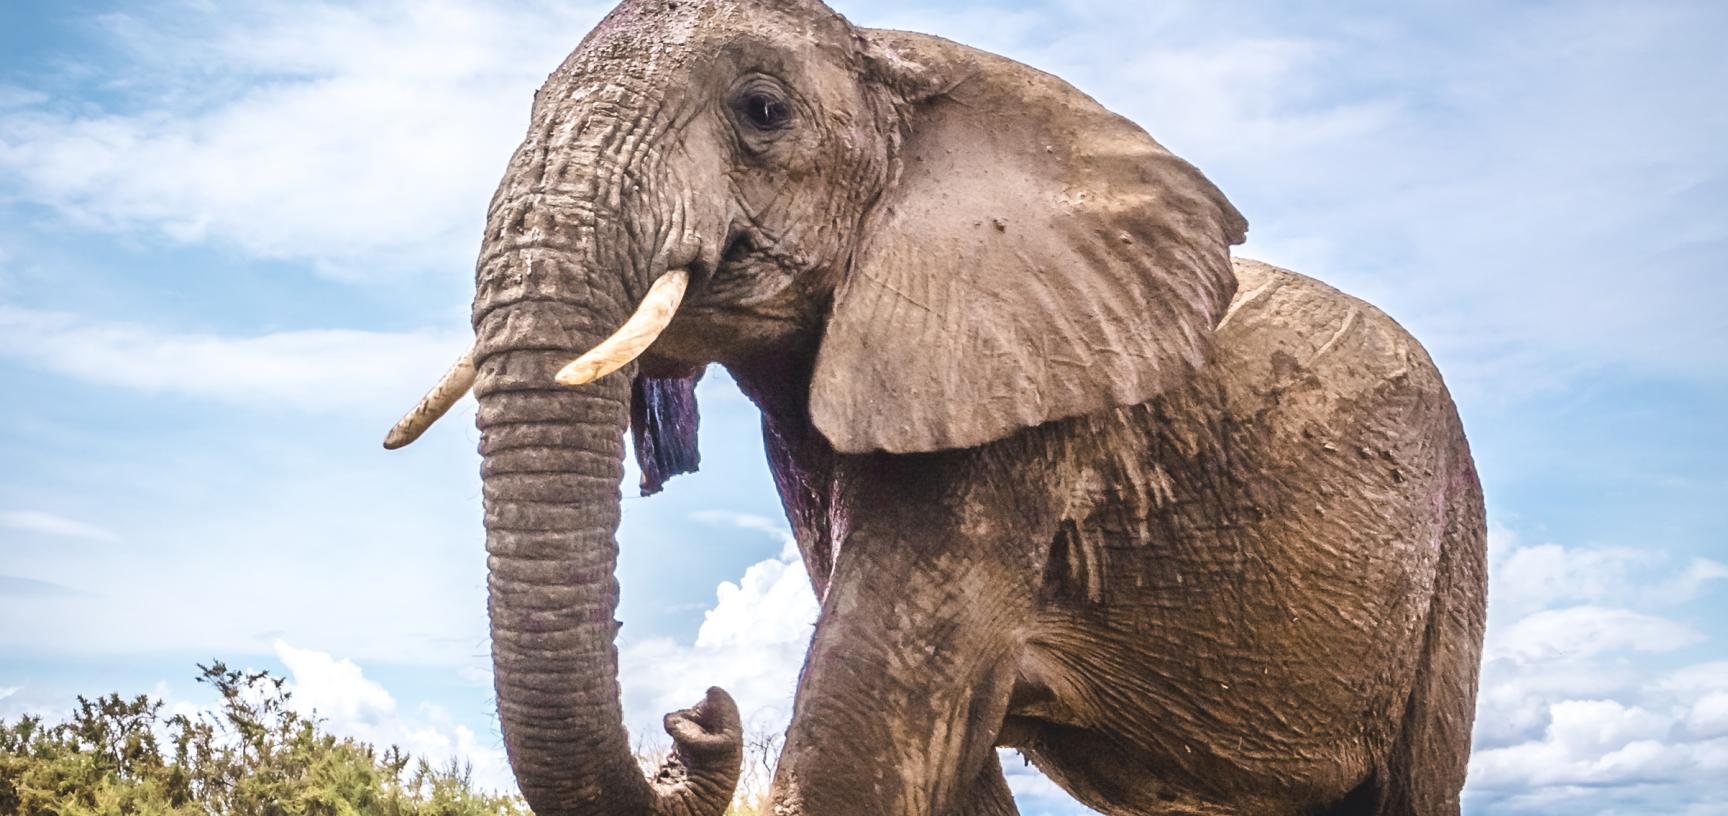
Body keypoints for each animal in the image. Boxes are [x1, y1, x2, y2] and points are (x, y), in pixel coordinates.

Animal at [382, 1, 1487, 814]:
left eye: (762, 111)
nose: (698, 710)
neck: (902, 67)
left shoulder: (1021, 426)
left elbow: (857, 754)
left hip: (1453, 550)